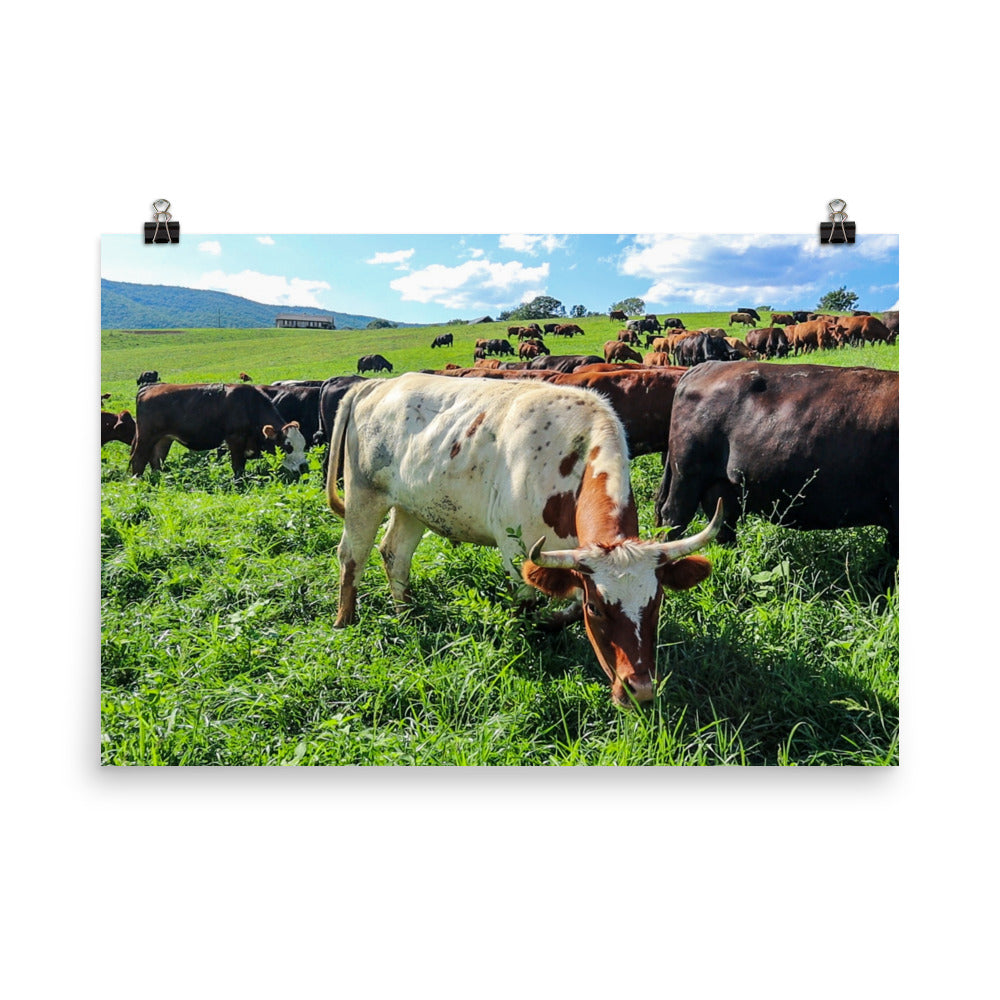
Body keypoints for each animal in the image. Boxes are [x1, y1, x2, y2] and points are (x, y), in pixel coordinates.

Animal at [129, 383, 309, 479]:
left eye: (303, 444)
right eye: (288, 446)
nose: (304, 467)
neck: (249, 406)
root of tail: (150, 387)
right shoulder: (235, 439)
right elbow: (238, 466)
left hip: (164, 438)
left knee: (156, 459)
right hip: (146, 436)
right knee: (138, 459)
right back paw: (137, 482)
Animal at [326, 372, 722, 706]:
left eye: (657, 602)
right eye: (598, 609)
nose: (639, 690)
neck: (571, 460)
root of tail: (377, 384)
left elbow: (568, 606)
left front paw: (551, 623)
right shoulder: (517, 551)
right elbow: (529, 605)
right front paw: (531, 638)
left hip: (411, 507)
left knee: (395, 555)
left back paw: (406, 613)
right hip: (364, 496)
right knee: (351, 557)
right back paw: (345, 622)